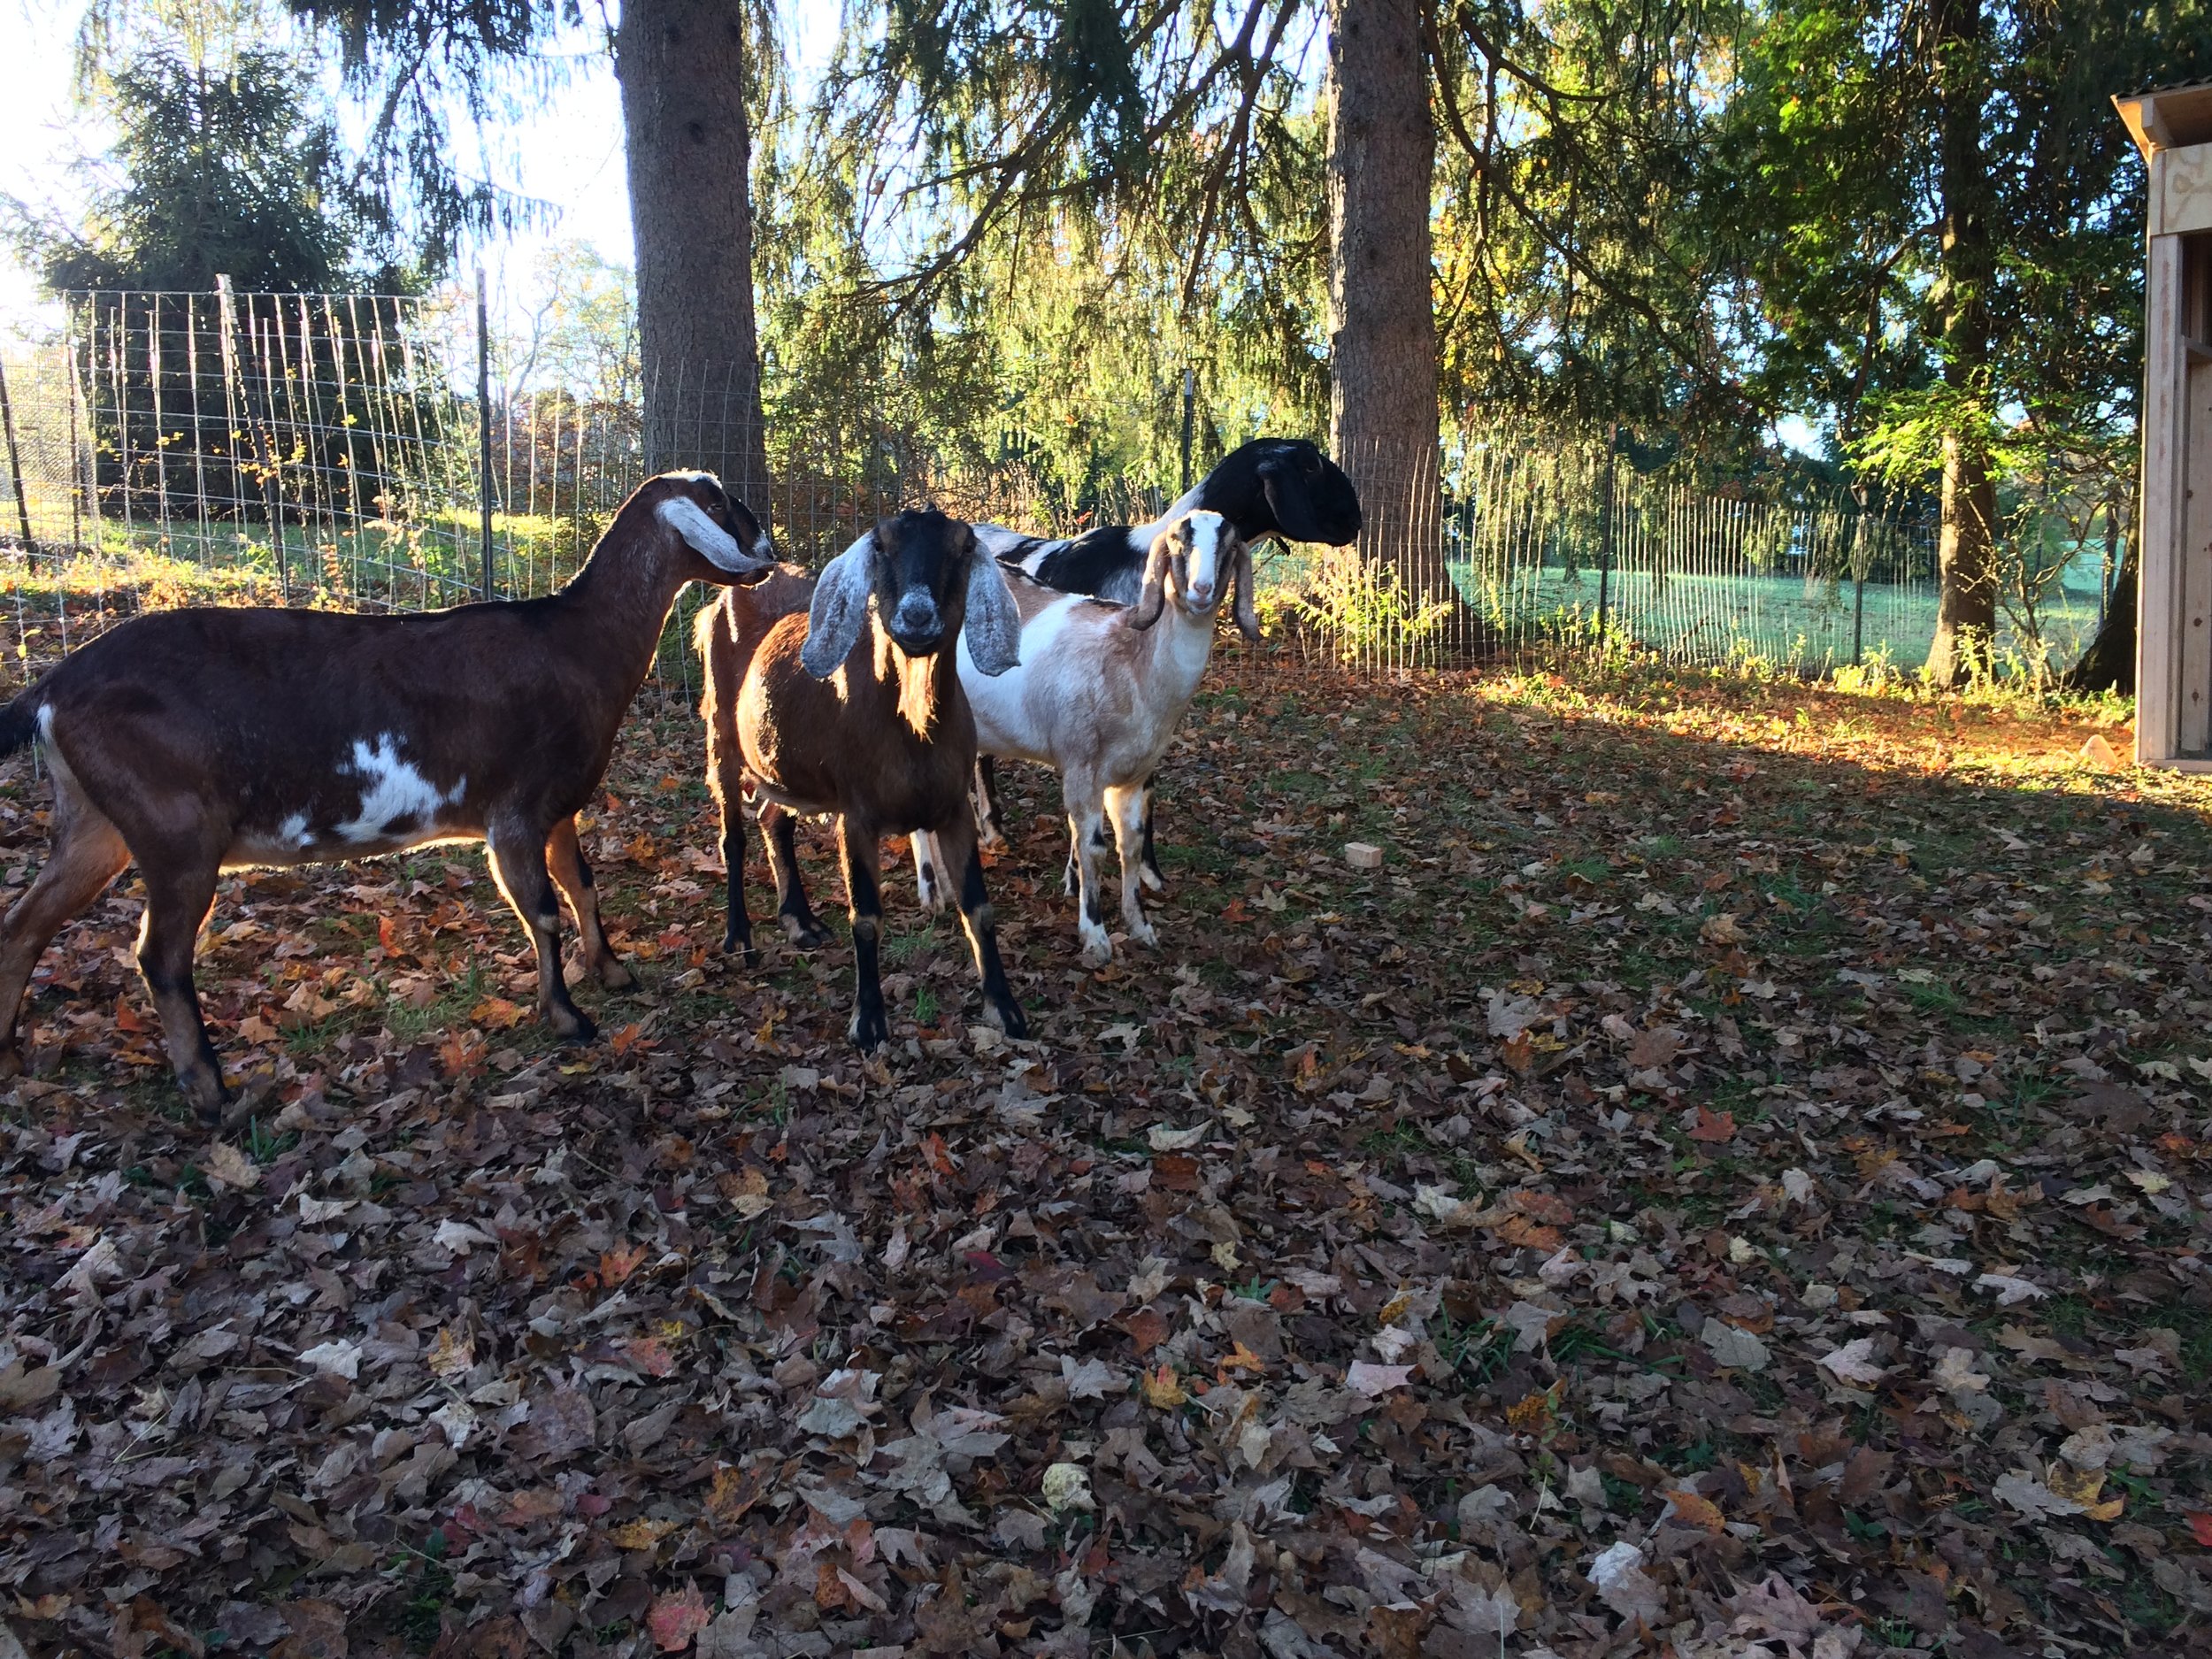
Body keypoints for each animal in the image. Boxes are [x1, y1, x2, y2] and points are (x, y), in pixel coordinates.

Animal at [0, 472, 773, 1117]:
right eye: (721, 504)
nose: (769, 550)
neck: (576, 641)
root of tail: (52, 689)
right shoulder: (515, 811)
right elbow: (543, 911)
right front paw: (566, 1017)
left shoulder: (558, 808)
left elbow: (580, 884)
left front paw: (612, 973)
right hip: (176, 833)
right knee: (159, 957)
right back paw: (213, 1090)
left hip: (97, 824)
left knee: (25, 923)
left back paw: (9, 1046)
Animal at [732, 508, 1026, 1047]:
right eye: (881, 547)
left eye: (963, 548)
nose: (916, 616)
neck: (912, 733)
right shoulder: (856, 816)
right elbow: (865, 919)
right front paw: (868, 1021)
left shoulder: (954, 809)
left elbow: (979, 909)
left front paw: (1005, 1008)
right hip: (719, 735)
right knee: (732, 832)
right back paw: (738, 938)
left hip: (782, 770)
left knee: (771, 817)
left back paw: (800, 921)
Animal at [913, 510, 1247, 967]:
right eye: (1180, 542)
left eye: (1228, 548)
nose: (1201, 590)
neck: (1132, 660)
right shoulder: (1081, 768)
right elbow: (1093, 849)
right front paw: (1096, 936)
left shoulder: (1132, 776)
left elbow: (1131, 845)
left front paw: (1140, 926)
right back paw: (931, 893)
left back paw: (946, 886)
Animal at [970, 437, 1360, 879]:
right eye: (1310, 467)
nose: (1355, 520)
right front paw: (1079, 873)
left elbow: (1145, 791)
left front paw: (1148, 869)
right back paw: (991, 828)